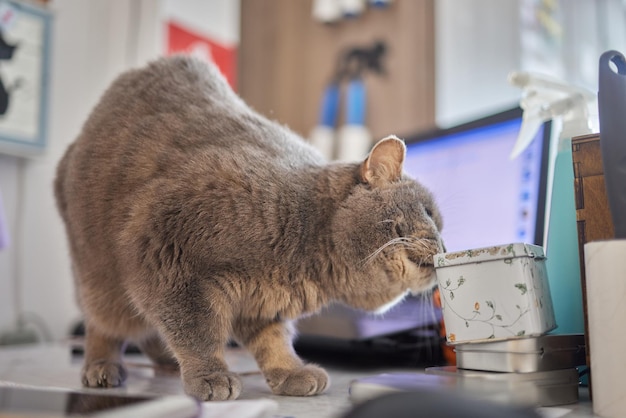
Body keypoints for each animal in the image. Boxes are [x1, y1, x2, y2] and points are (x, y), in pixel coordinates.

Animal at [54, 54, 444, 400]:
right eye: (429, 213)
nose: (445, 244)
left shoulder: (262, 306)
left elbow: (273, 342)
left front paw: (291, 372)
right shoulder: (165, 256)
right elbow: (197, 332)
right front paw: (210, 375)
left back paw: (166, 360)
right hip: (99, 275)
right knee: (103, 324)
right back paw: (102, 366)